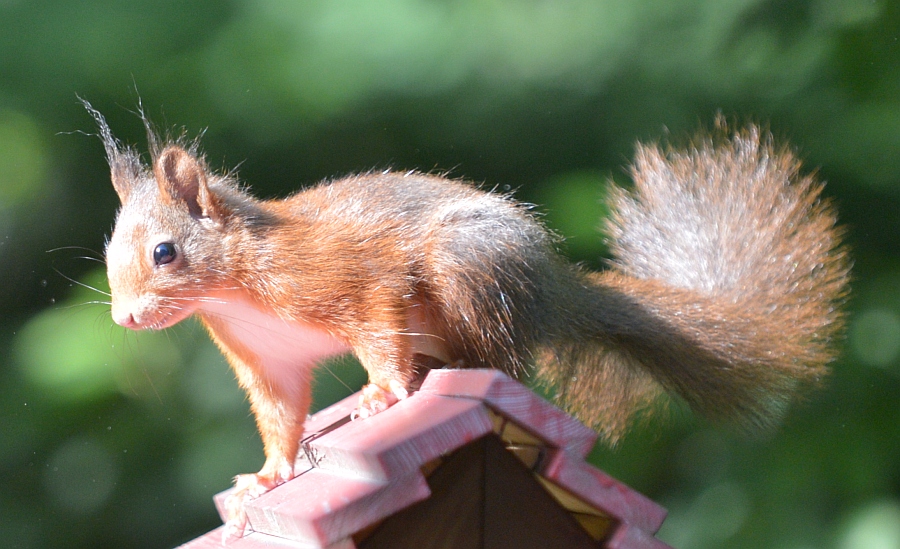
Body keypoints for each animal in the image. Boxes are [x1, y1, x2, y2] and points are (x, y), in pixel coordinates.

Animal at [83, 101, 848, 538]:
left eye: (165, 252)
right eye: (110, 252)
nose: (124, 319)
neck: (236, 289)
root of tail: (550, 288)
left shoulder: (352, 280)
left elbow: (380, 328)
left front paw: (383, 394)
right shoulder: (267, 361)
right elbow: (280, 417)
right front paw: (266, 478)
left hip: (467, 268)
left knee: (500, 360)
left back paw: (443, 373)